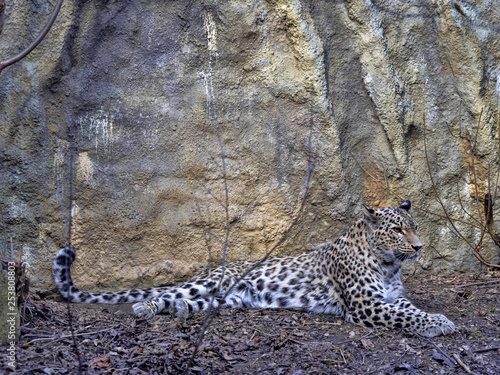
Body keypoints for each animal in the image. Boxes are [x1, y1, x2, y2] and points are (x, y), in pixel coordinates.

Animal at [52, 201, 456, 340]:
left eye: (414, 227)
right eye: (398, 230)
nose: (419, 247)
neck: (388, 264)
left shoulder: (391, 298)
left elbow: (410, 310)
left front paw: (440, 320)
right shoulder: (365, 305)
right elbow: (404, 317)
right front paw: (437, 325)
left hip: (226, 300)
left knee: (189, 303)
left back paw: (180, 312)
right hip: (209, 283)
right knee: (165, 293)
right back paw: (144, 308)